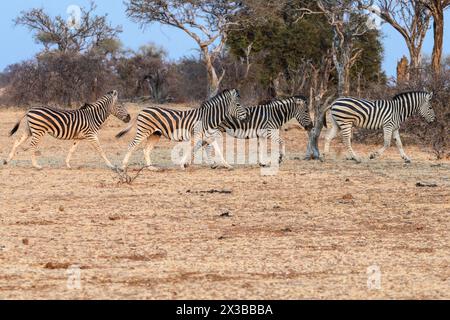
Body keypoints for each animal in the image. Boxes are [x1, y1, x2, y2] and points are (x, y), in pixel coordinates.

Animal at [115, 87, 246, 170]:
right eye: (238, 104)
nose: (245, 115)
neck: (208, 118)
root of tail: (142, 110)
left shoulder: (209, 137)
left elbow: (218, 151)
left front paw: (227, 165)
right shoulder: (196, 135)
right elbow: (190, 148)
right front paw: (183, 165)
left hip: (155, 134)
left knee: (146, 150)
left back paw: (151, 168)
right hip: (143, 131)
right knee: (132, 146)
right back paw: (123, 167)